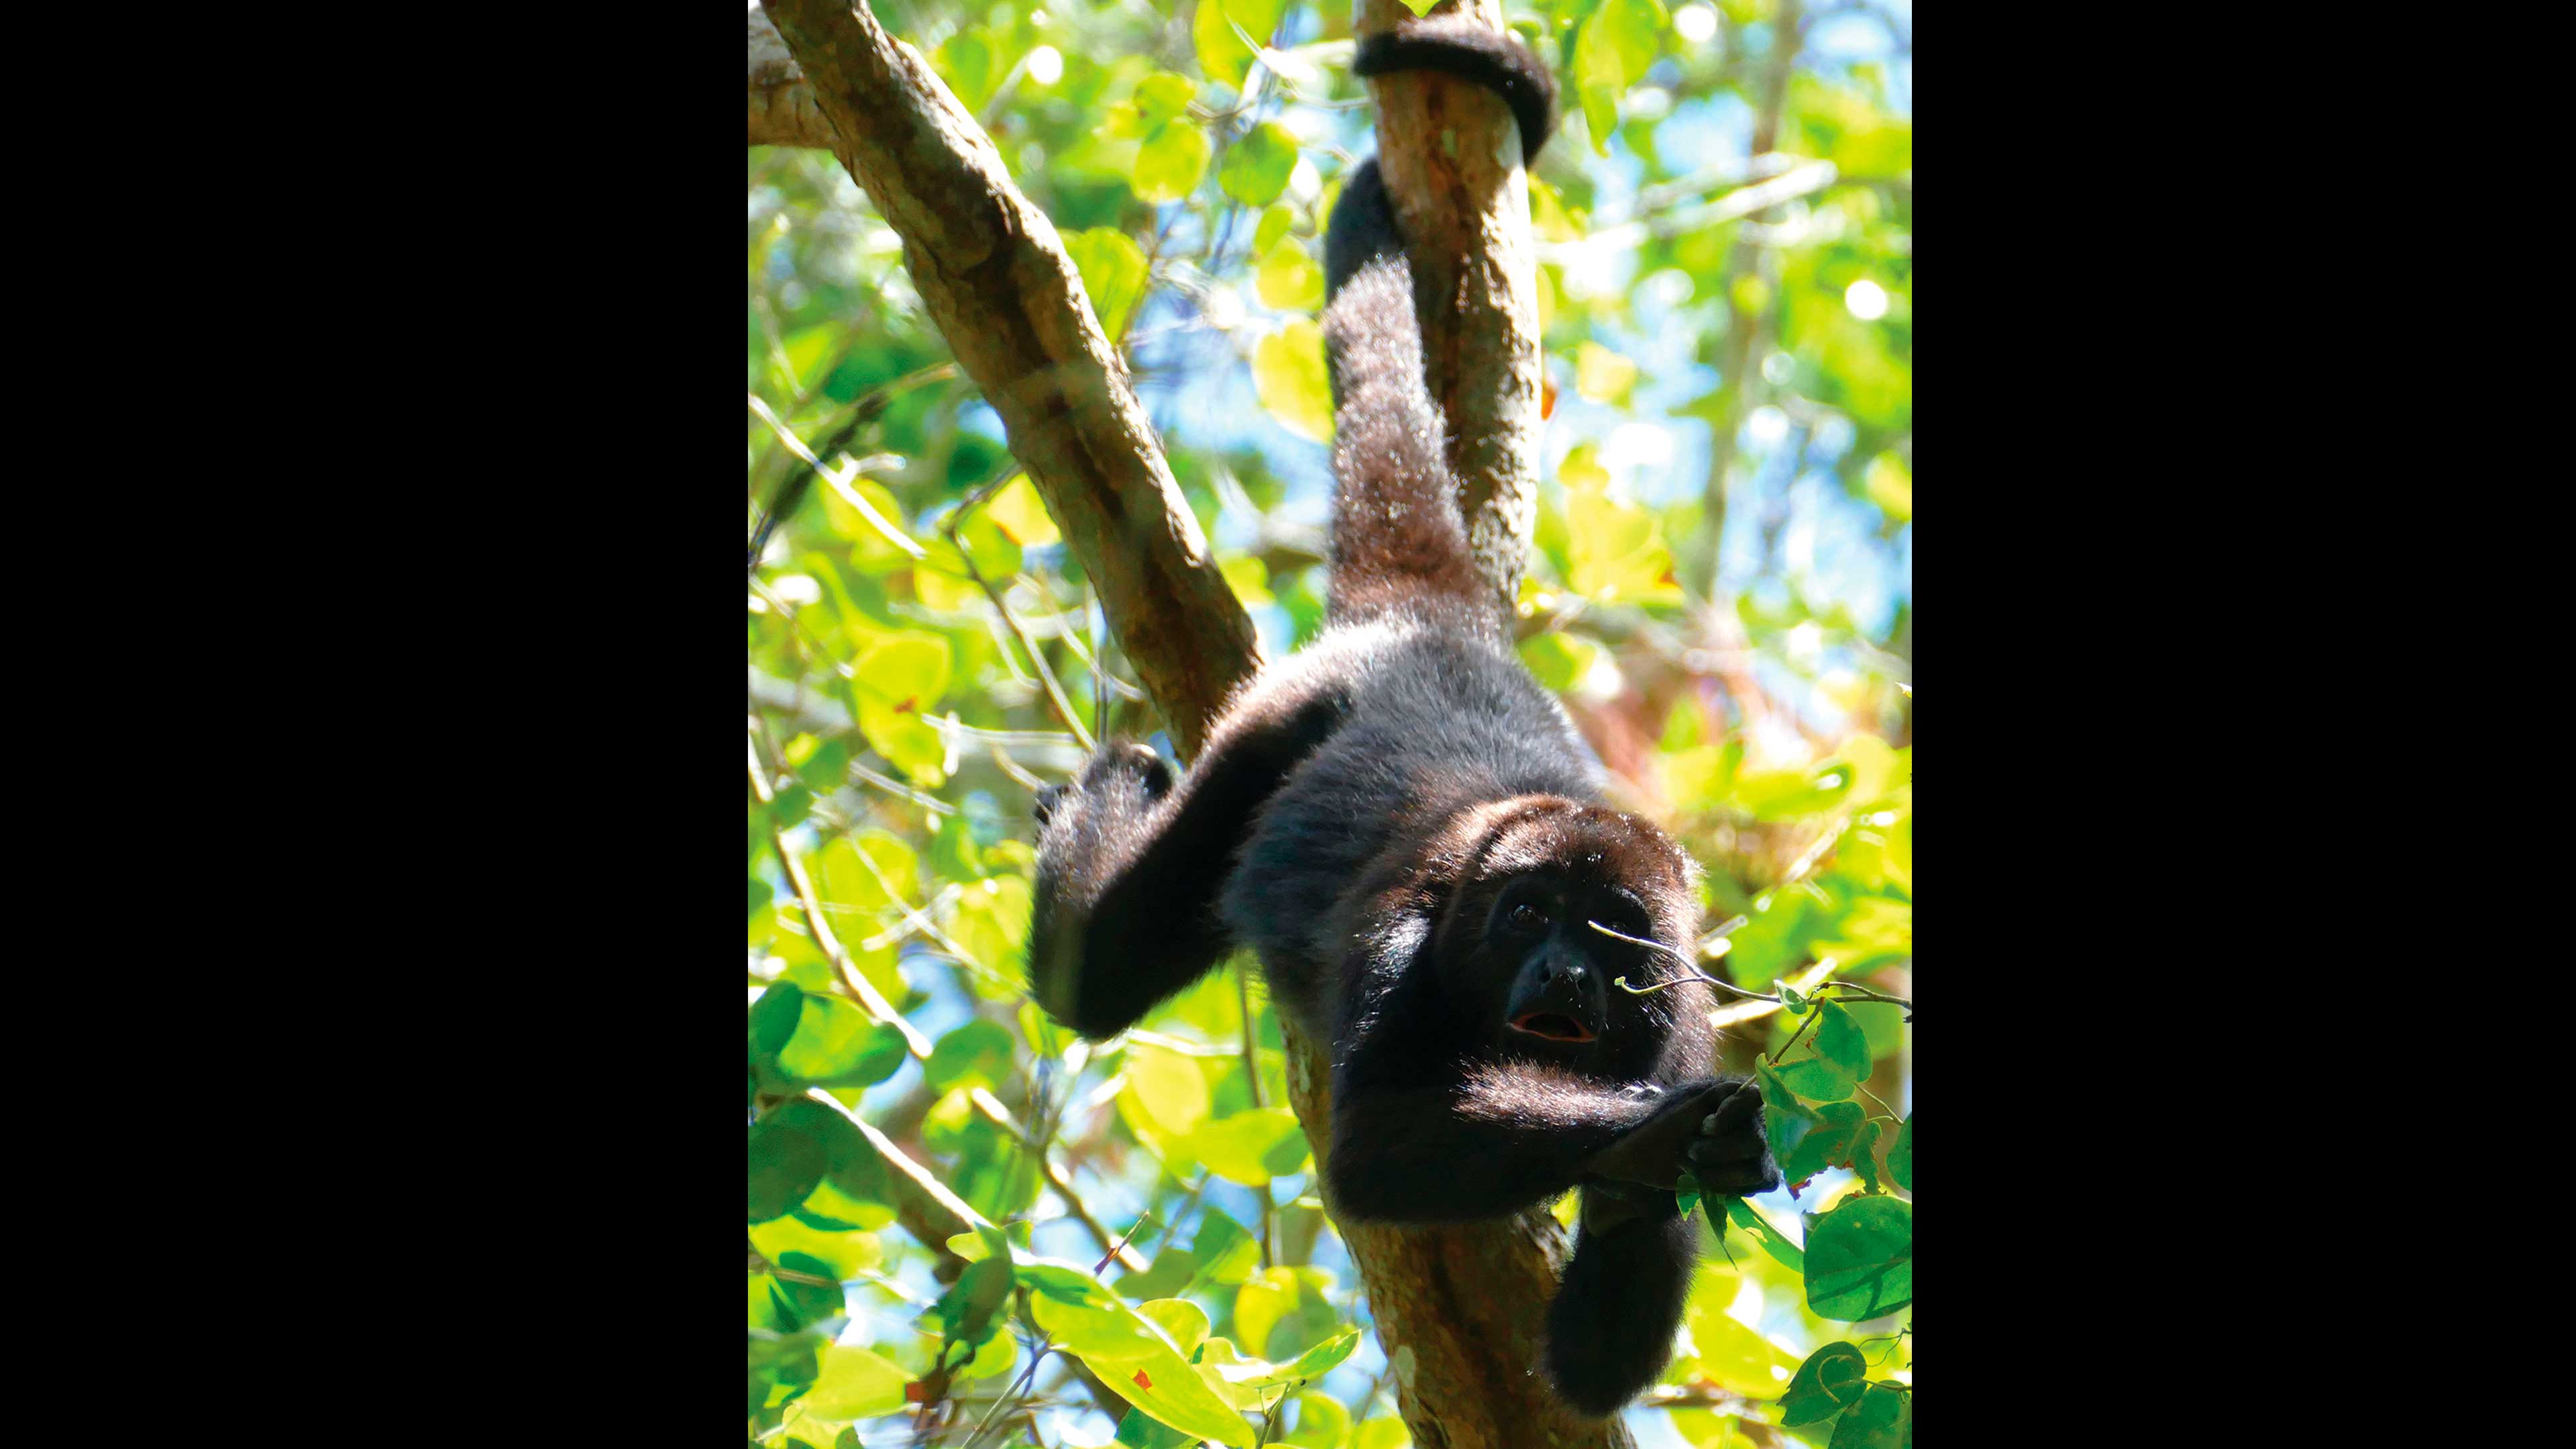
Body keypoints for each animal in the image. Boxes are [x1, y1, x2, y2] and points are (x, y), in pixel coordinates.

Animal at [1025, 14, 1772, 1413]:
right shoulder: (1404, 929)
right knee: (1093, 979)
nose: (1562, 971)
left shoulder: (1681, 1004)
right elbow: (1373, 1145)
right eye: (1528, 916)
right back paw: (1109, 793)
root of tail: (1436, 626)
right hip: (1279, 717)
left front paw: (1660, 1160)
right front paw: (1659, 1134)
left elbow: (1598, 1367)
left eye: (1611, 934)